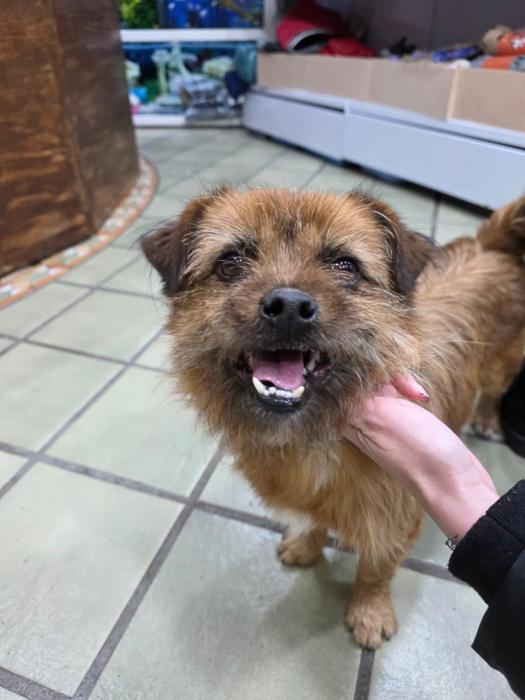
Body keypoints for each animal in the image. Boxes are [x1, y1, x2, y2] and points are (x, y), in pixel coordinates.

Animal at [142, 188, 525, 649]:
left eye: (345, 265)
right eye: (230, 262)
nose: (288, 306)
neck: (311, 435)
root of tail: (491, 244)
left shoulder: (394, 521)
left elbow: (376, 570)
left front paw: (369, 612)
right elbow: (313, 522)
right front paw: (307, 546)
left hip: (502, 366)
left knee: (495, 391)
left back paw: (486, 419)